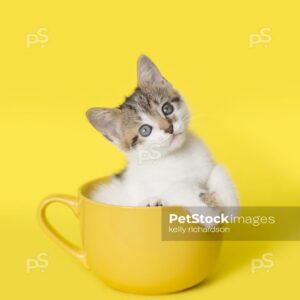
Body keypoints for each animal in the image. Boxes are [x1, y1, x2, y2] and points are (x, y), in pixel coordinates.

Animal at [85, 54, 238, 213]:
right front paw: (210, 213)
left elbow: (219, 171)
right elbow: (180, 190)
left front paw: (230, 204)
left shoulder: (207, 164)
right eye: (145, 130)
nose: (169, 128)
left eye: (167, 108)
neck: (177, 155)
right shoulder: (166, 187)